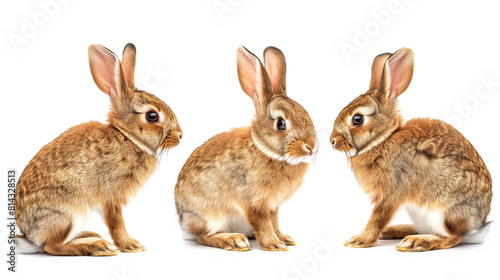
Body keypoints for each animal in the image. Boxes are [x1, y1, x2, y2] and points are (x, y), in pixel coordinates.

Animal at [15, 43, 184, 256]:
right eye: (152, 116)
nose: (180, 135)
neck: (127, 137)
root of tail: (30, 237)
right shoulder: (111, 194)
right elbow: (116, 222)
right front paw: (131, 245)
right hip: (69, 213)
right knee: (52, 246)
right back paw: (97, 246)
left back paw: (92, 235)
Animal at [175, 46, 316, 252]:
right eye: (281, 123)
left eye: (306, 113)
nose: (311, 147)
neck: (266, 151)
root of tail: (183, 223)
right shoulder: (254, 203)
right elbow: (263, 224)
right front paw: (274, 244)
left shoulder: (272, 207)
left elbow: (274, 223)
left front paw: (284, 238)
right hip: (211, 216)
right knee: (203, 236)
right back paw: (235, 240)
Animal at [332, 47, 492, 252]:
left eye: (357, 119)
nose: (332, 141)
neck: (383, 139)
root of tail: (476, 227)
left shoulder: (392, 192)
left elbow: (378, 218)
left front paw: (359, 240)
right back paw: (395, 231)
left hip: (442, 211)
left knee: (453, 237)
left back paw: (415, 242)